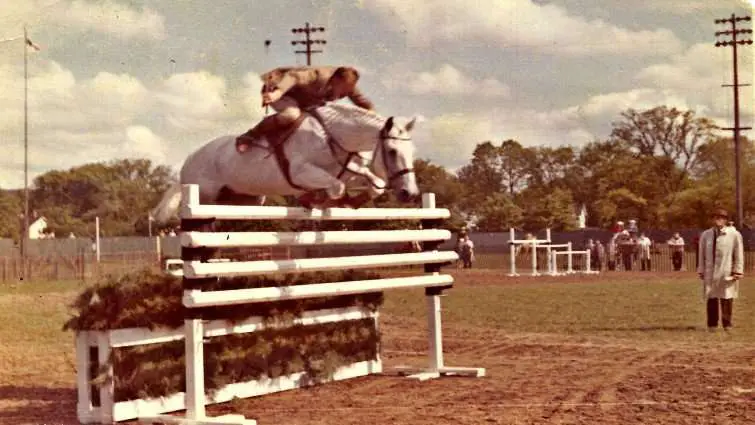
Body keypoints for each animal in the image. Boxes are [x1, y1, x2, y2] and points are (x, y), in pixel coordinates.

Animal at [149, 102, 420, 222]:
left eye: (412, 151)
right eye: (392, 151)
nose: (410, 193)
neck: (330, 135)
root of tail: (187, 162)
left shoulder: (348, 170)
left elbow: (374, 184)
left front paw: (355, 200)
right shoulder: (301, 172)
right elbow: (336, 188)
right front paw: (317, 199)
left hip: (247, 199)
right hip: (204, 196)